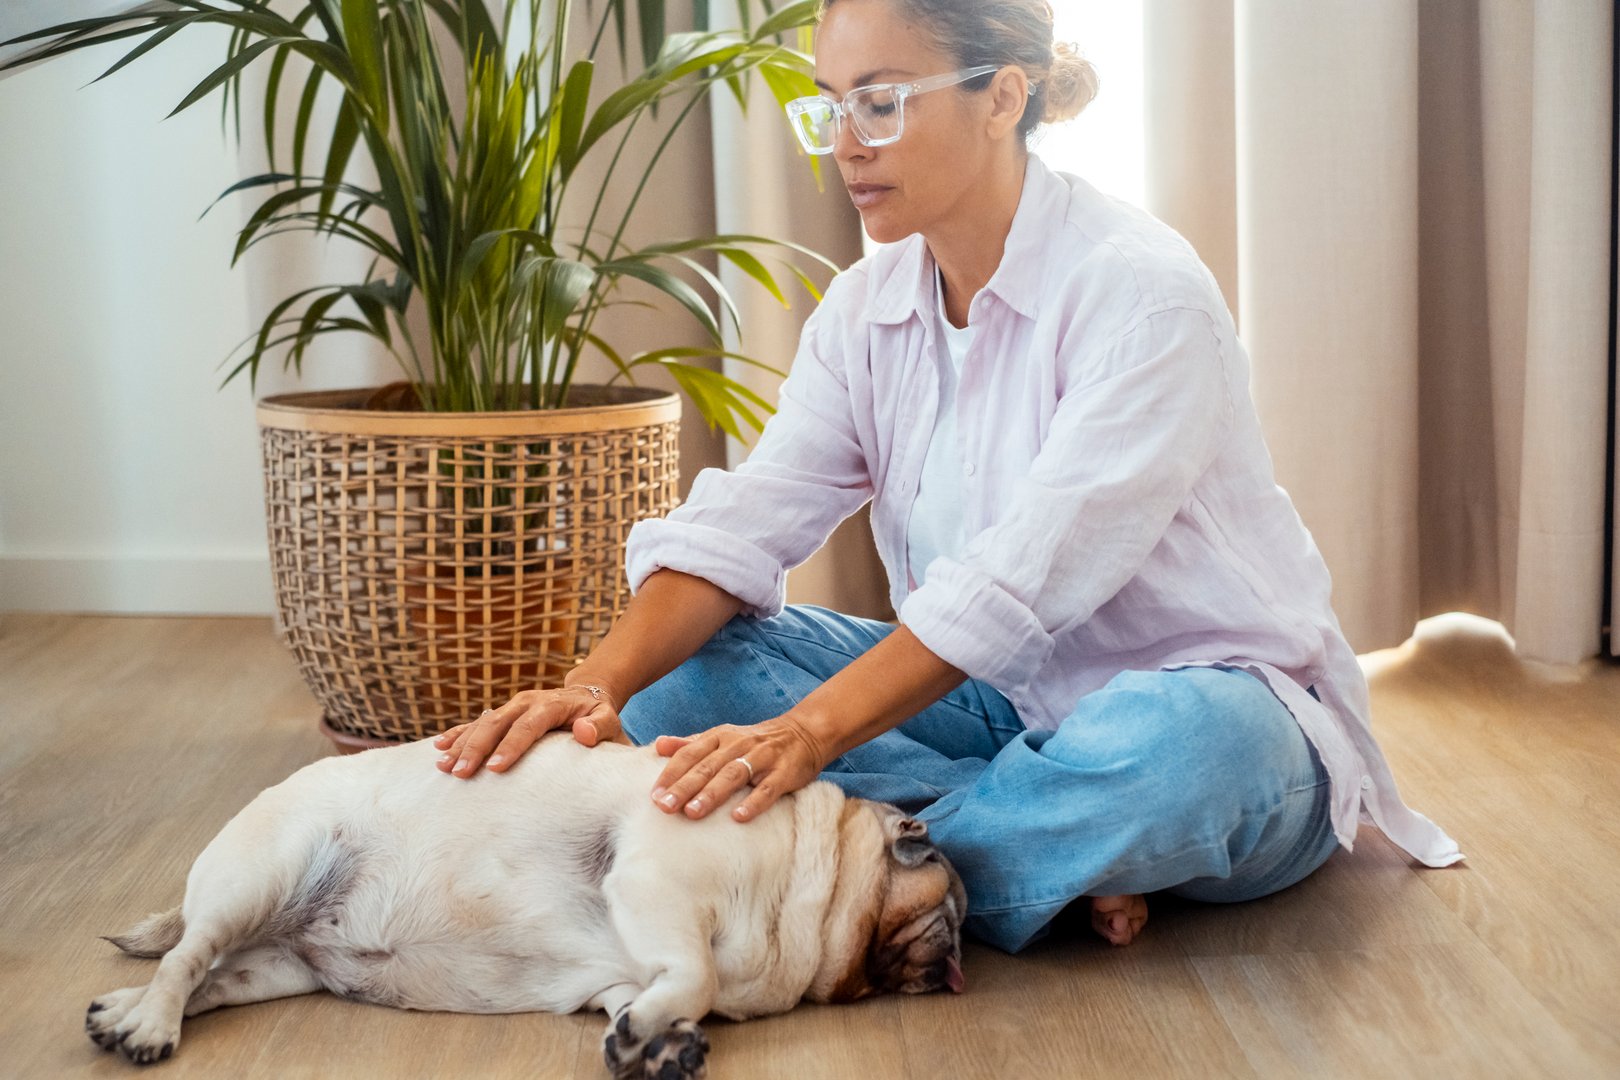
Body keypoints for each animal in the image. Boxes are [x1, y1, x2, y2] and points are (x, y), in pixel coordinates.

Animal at [85, 731, 959, 1075]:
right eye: (951, 911)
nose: (955, 968)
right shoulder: (655, 889)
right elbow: (695, 976)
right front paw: (661, 1032)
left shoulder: (624, 970)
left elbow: (648, 997)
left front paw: (657, 1043)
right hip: (260, 878)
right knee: (185, 957)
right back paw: (148, 1027)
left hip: (272, 966)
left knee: (201, 975)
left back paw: (119, 1013)